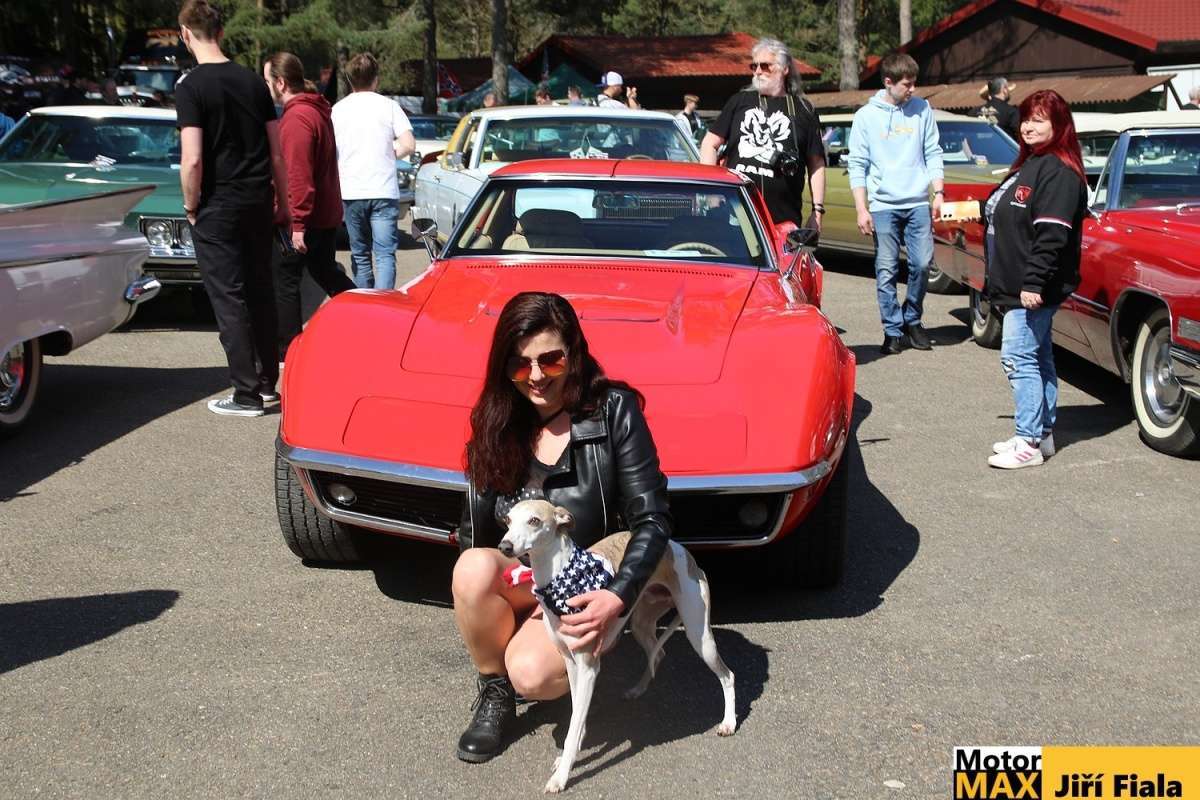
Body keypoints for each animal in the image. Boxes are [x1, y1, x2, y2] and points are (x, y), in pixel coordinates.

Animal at [498, 499, 736, 793]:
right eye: (508, 520)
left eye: (534, 520)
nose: (504, 546)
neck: (561, 578)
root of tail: (684, 553)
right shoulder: (570, 662)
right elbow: (577, 714)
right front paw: (570, 755)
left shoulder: (589, 667)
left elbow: (575, 724)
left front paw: (562, 776)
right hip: (642, 622)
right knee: (658, 654)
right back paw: (637, 689)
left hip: (699, 634)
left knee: (727, 675)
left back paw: (728, 722)